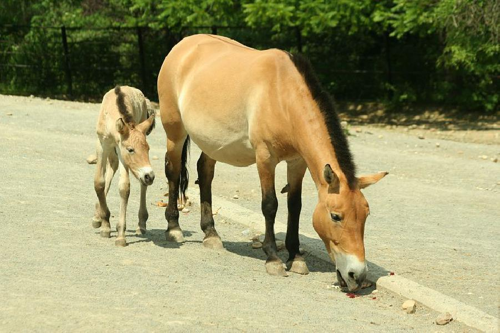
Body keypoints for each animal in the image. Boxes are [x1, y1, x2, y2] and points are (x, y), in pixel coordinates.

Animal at [93, 85, 155, 246]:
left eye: (148, 148)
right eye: (131, 149)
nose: (150, 176)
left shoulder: (122, 153)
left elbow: (124, 187)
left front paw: (120, 235)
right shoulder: (103, 145)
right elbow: (99, 183)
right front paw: (105, 224)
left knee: (141, 183)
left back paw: (141, 224)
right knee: (112, 167)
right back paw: (97, 217)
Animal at [157, 34, 386, 290]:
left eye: (365, 215)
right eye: (336, 216)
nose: (357, 275)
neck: (282, 95)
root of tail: (182, 46)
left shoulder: (297, 162)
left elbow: (294, 206)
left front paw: (296, 257)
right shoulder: (265, 158)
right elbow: (270, 205)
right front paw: (273, 258)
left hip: (212, 142)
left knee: (204, 173)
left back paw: (211, 234)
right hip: (175, 133)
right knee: (173, 172)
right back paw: (173, 228)